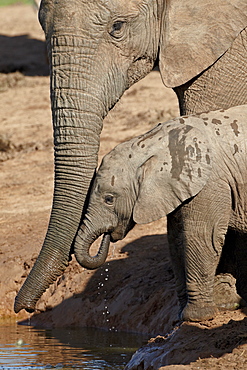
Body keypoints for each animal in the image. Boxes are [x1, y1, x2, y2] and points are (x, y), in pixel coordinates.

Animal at [74, 103, 247, 320]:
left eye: (109, 199)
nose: (109, 236)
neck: (149, 143)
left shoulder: (209, 182)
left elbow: (203, 237)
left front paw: (196, 318)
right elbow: (176, 240)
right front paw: (180, 315)